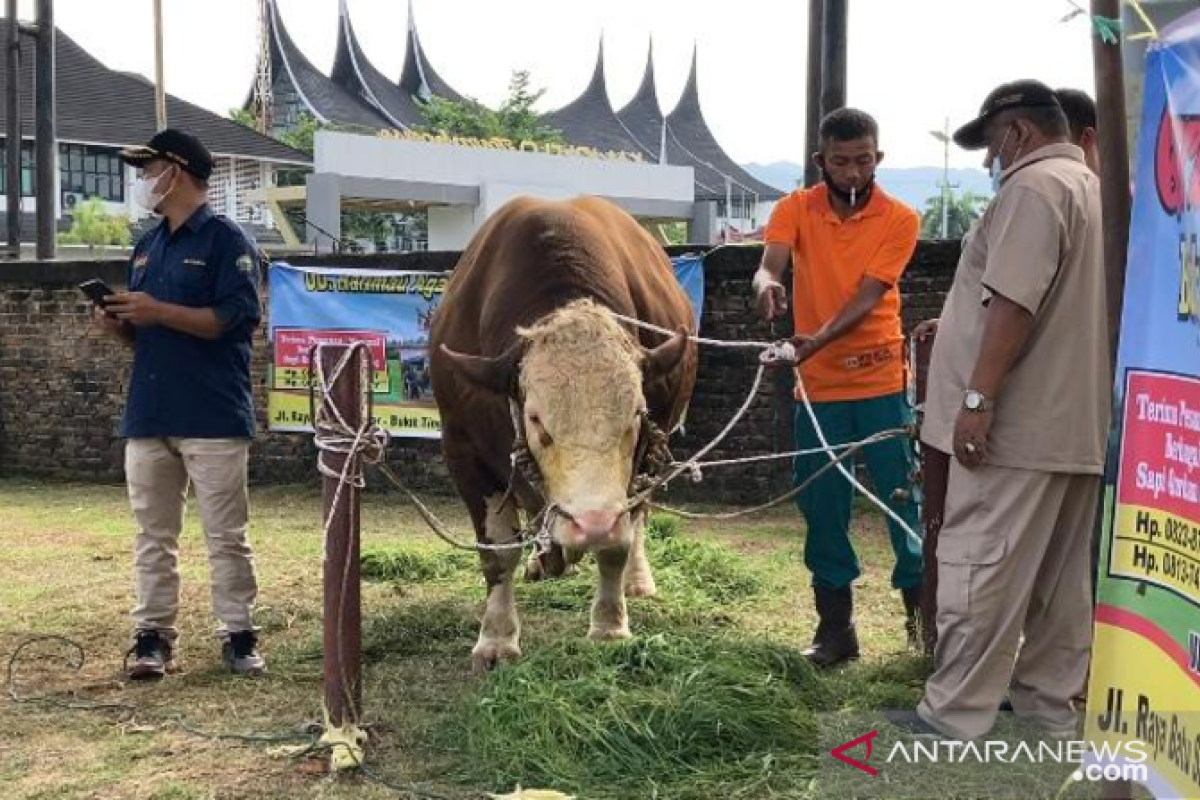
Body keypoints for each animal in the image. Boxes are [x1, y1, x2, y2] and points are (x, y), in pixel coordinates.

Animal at [432, 196, 700, 671]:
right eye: (536, 418)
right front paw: (496, 638)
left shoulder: (641, 459)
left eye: (635, 414)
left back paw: (632, 578)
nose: (591, 524)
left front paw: (609, 625)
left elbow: (620, 540)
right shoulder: (463, 451)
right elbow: (497, 553)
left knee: (641, 516)